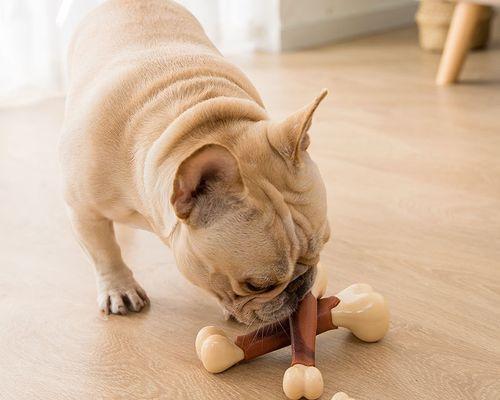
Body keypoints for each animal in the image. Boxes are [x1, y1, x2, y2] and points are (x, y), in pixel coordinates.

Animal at [59, 0, 328, 324]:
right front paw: (119, 288)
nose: (301, 287)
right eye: (256, 285)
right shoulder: (84, 212)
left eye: (323, 246)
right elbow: (104, 252)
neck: (196, 121)